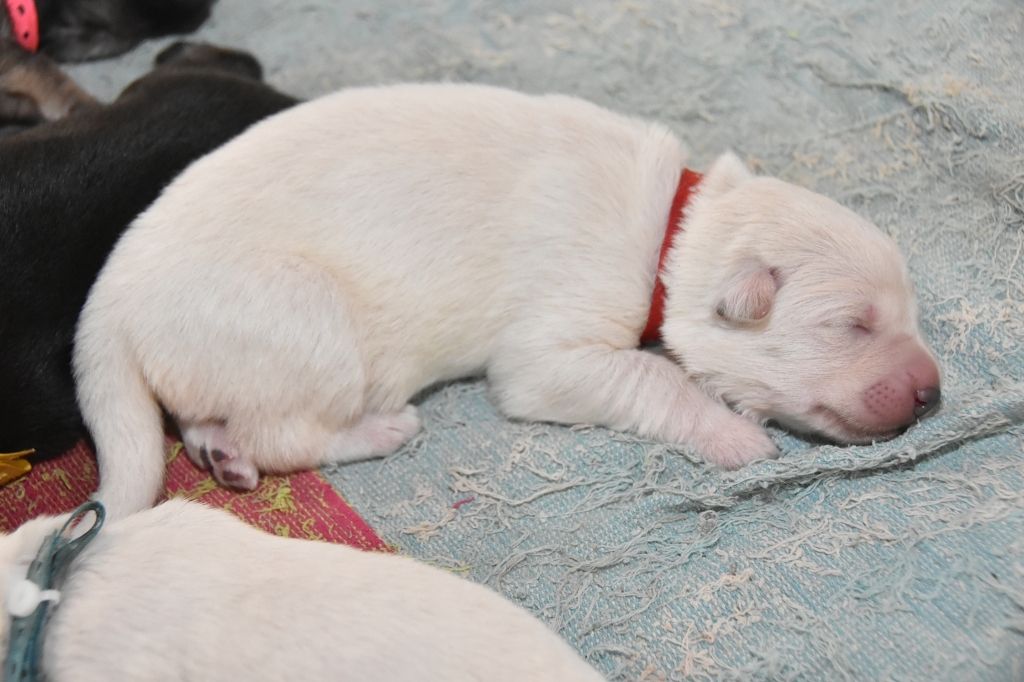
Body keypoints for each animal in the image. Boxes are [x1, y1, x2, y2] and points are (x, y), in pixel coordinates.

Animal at [73, 83, 943, 519]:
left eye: (906, 314)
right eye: (851, 324)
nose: (933, 392)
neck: (677, 227)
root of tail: (107, 302)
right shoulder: (552, 346)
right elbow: (653, 376)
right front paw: (734, 433)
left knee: (209, 418)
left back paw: (219, 453)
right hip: (302, 323)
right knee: (287, 432)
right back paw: (379, 429)